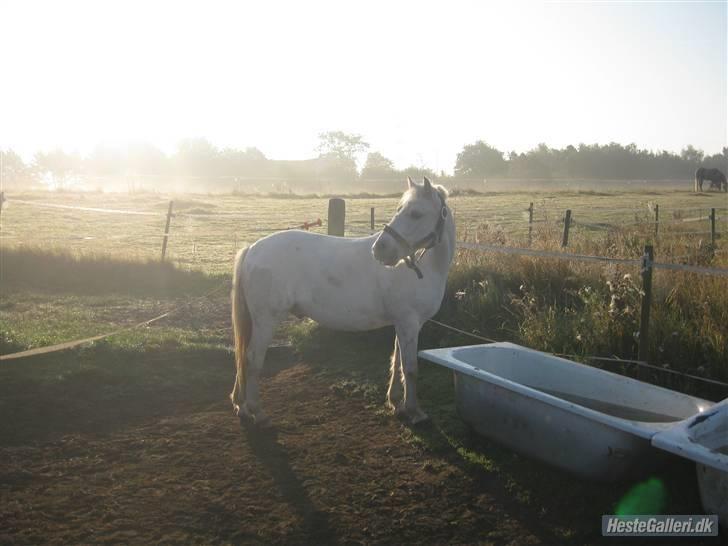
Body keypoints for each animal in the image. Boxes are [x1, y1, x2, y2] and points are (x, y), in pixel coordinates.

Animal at [230, 177, 456, 426]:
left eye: (416, 213)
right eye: (401, 210)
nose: (380, 249)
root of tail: (252, 249)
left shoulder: (402, 324)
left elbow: (396, 362)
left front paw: (395, 401)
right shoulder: (409, 323)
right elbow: (411, 368)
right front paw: (414, 411)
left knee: (242, 357)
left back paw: (241, 407)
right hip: (266, 321)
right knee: (252, 358)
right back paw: (257, 411)